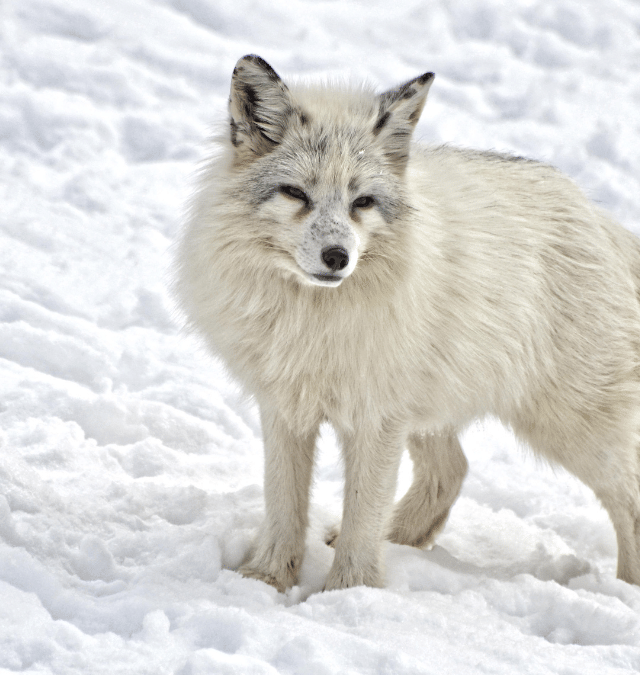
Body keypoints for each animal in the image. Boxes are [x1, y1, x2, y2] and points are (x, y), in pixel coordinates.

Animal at [176, 54, 640, 592]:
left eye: (362, 202)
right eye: (295, 194)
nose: (337, 257)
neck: (312, 320)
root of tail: (600, 218)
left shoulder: (374, 417)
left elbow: (363, 513)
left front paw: (349, 593)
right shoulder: (287, 406)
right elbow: (284, 504)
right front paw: (265, 580)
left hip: (570, 428)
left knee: (629, 498)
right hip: (430, 410)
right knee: (453, 470)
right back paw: (398, 539)